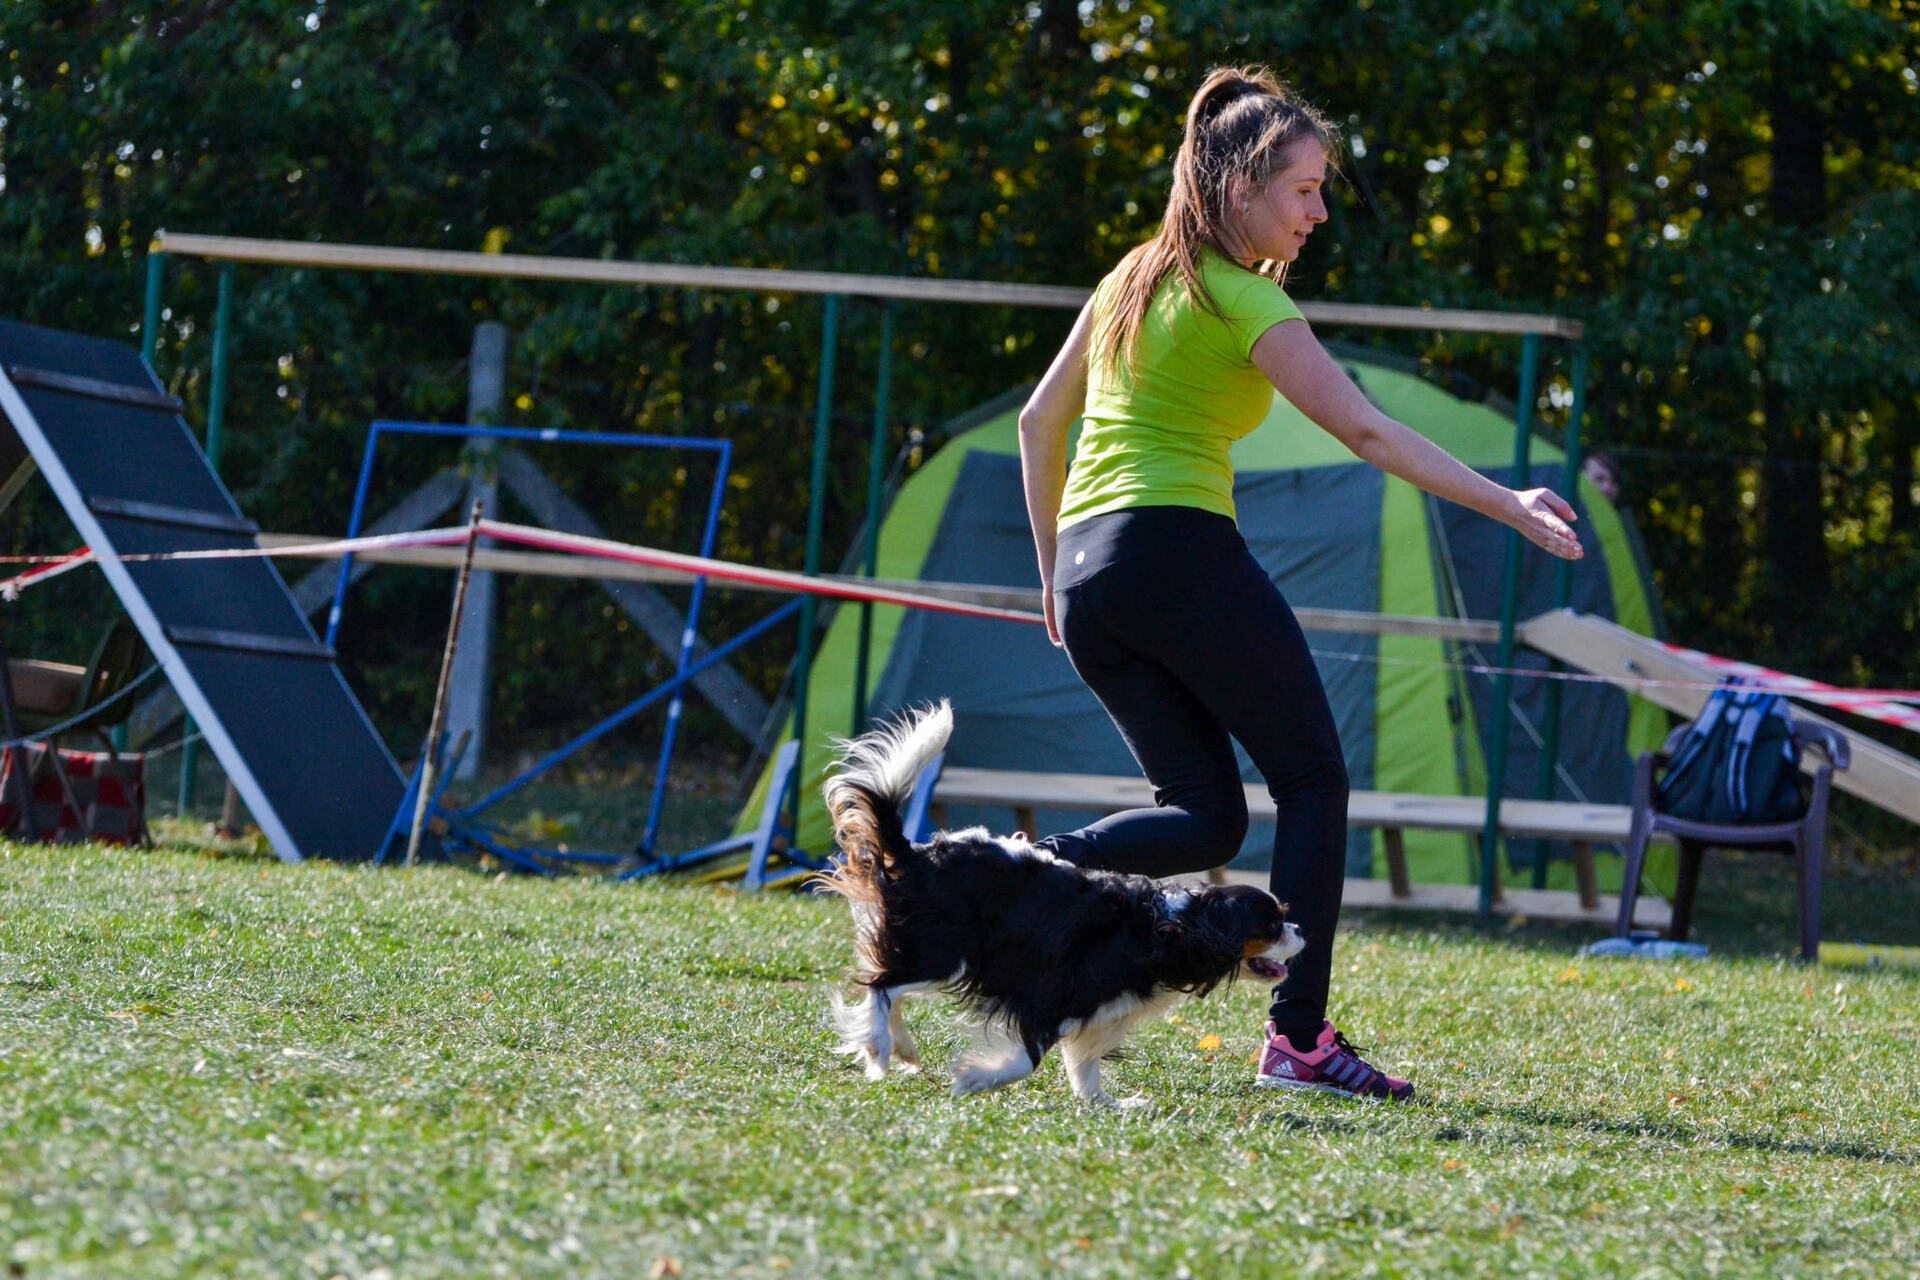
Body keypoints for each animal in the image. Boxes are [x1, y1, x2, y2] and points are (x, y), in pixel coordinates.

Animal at [825, 706, 1305, 1105]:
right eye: (1273, 924)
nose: (1302, 931)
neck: (1174, 928)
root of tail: (918, 853)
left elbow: (1084, 1069)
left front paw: (1111, 1104)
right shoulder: (1050, 993)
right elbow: (1029, 1057)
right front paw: (973, 1079)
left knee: (888, 983)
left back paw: (901, 1048)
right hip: (945, 952)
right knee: (883, 984)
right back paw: (879, 1048)